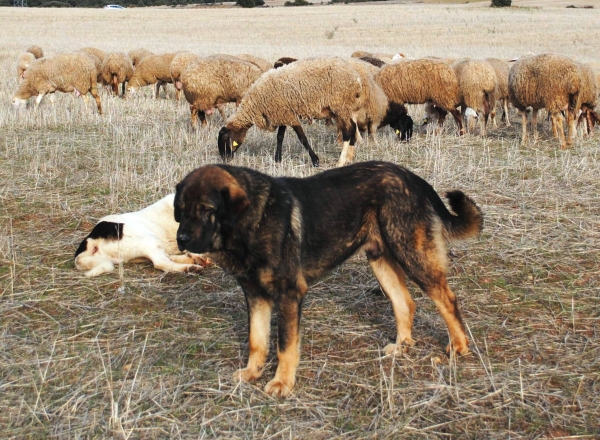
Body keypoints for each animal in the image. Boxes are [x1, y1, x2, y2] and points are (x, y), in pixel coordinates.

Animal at [74, 194, 212, 276]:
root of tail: (92, 236)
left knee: (166, 257)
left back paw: (195, 258)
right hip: (149, 239)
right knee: (161, 262)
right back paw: (190, 267)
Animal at [173, 162, 482, 398]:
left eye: (206, 209)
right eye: (181, 209)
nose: (181, 239)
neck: (253, 221)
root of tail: (413, 177)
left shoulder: (289, 295)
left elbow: (285, 346)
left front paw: (282, 383)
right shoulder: (256, 296)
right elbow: (256, 340)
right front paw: (252, 373)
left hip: (412, 255)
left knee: (447, 299)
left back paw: (459, 346)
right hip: (380, 259)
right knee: (405, 302)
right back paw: (402, 345)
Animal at [217, 57, 366, 168]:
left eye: (225, 140)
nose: (225, 160)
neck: (256, 103)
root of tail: (356, 78)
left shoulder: (290, 116)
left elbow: (302, 139)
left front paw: (315, 161)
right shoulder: (282, 113)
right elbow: (280, 137)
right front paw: (277, 159)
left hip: (341, 106)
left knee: (348, 130)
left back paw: (340, 161)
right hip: (344, 108)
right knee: (352, 128)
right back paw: (349, 157)